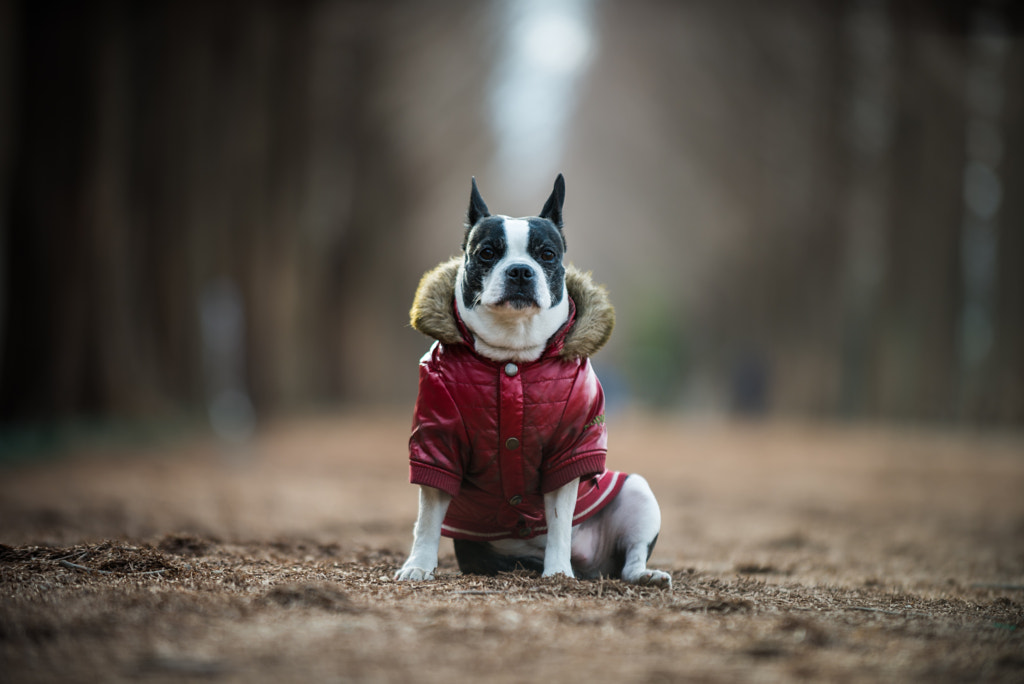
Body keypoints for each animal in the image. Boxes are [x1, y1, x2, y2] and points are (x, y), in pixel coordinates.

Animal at [393, 174, 671, 585]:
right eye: (487, 253)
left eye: (547, 255)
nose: (521, 270)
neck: (513, 353)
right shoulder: (438, 440)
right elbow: (428, 518)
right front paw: (418, 565)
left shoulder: (569, 447)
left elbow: (558, 520)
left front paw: (557, 571)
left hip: (638, 492)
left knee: (630, 559)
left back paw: (642, 574)